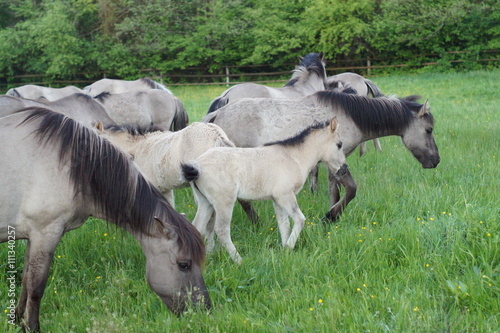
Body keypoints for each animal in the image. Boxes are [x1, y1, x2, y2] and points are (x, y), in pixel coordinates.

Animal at [181, 118, 348, 264]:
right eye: (339, 145)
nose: (344, 169)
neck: (293, 157)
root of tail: (197, 165)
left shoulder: (277, 199)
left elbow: (284, 225)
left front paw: (285, 252)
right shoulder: (285, 196)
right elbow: (300, 220)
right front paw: (289, 247)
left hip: (206, 203)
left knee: (198, 226)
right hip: (224, 202)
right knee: (221, 230)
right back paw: (239, 261)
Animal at [203, 91, 438, 220]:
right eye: (429, 130)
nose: (436, 160)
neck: (348, 117)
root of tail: (218, 114)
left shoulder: (332, 162)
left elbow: (335, 190)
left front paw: (332, 215)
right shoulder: (336, 159)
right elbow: (351, 189)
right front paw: (331, 216)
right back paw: (256, 222)